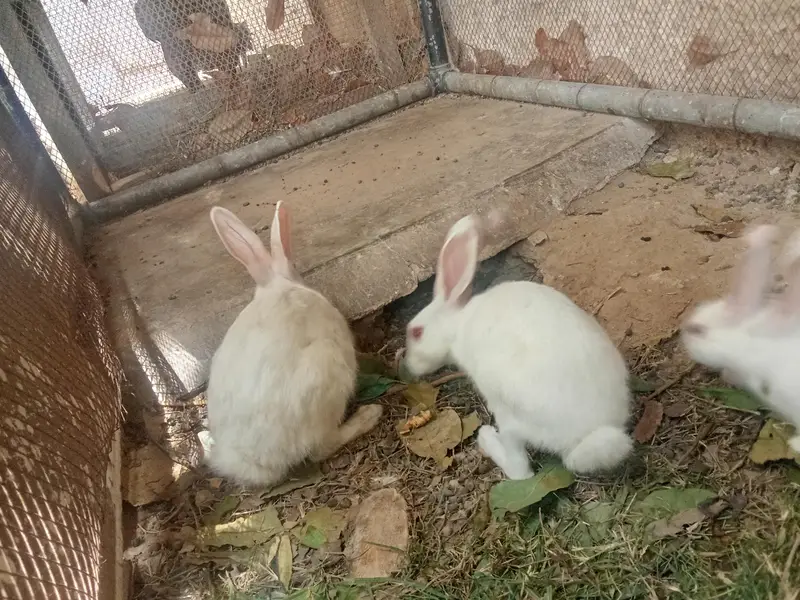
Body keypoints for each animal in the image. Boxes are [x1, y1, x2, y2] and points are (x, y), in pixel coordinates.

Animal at [401, 213, 633, 479]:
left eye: (416, 332)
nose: (408, 365)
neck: (457, 324)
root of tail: (588, 433)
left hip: (510, 418)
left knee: (521, 471)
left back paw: (487, 438)